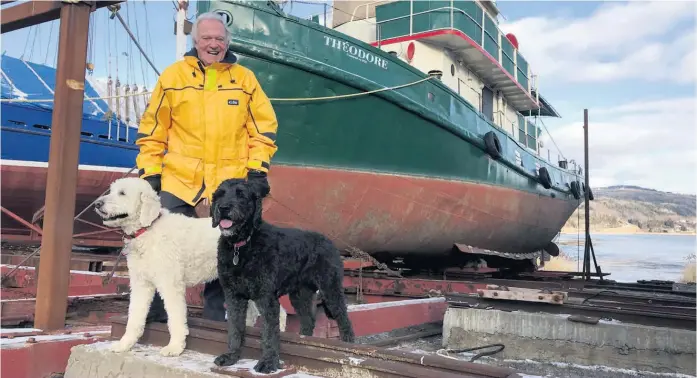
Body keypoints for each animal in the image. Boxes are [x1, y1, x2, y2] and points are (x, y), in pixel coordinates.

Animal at [94, 177, 286, 358]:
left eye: (122, 193)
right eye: (111, 190)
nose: (97, 204)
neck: (148, 229)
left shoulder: (171, 285)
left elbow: (175, 318)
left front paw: (174, 347)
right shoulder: (141, 284)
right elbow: (134, 317)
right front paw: (124, 344)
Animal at [211, 177, 354, 372]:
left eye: (241, 195)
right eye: (219, 194)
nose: (223, 207)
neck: (241, 246)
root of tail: (329, 241)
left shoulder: (267, 298)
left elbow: (269, 332)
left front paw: (268, 362)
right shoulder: (234, 296)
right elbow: (234, 328)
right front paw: (231, 356)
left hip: (330, 288)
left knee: (343, 318)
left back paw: (348, 345)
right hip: (300, 295)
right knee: (308, 320)